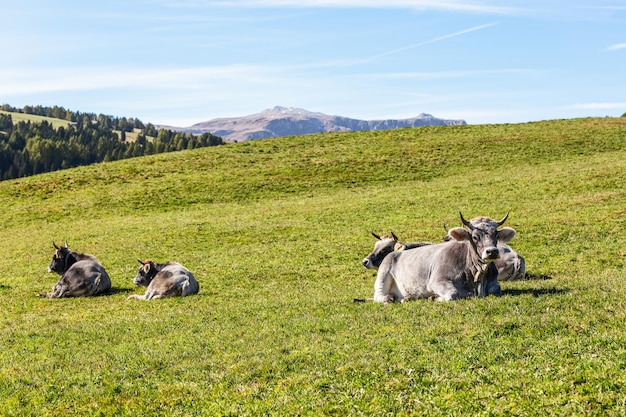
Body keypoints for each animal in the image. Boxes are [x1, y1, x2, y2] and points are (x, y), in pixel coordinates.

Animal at [372, 213, 516, 300]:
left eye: (496, 235)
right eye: (474, 237)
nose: (492, 252)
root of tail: (395, 252)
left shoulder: (494, 284)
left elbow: (496, 289)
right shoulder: (436, 281)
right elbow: (454, 293)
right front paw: (434, 297)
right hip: (383, 274)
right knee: (378, 296)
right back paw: (388, 299)